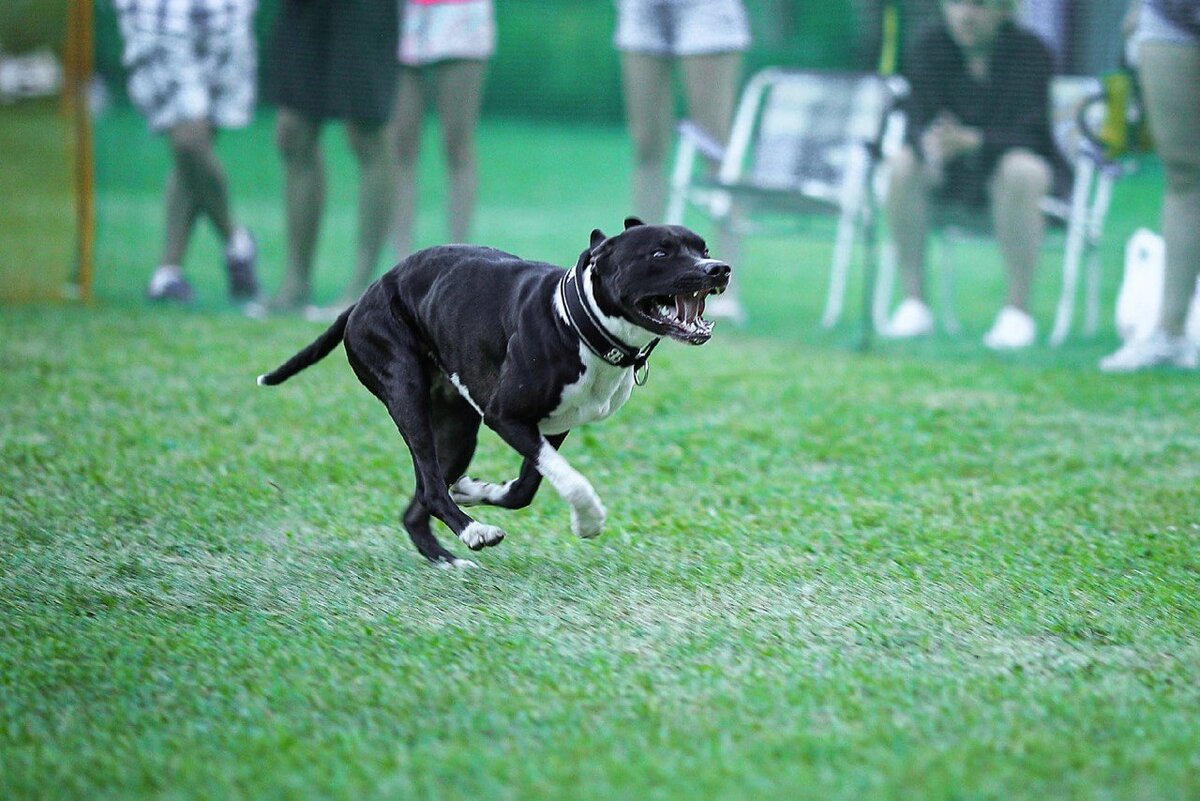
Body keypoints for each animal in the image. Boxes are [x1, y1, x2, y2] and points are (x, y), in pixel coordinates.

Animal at [260, 219, 729, 565]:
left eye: (702, 248)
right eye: (659, 253)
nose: (719, 268)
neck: (578, 319)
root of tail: (365, 296)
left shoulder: (552, 427)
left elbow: (525, 489)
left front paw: (476, 490)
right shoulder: (505, 416)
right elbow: (571, 480)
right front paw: (589, 520)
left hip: (457, 429)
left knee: (420, 502)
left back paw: (448, 557)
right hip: (408, 396)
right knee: (430, 487)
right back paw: (473, 531)